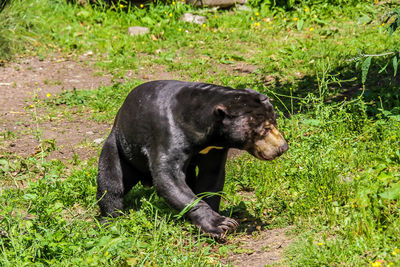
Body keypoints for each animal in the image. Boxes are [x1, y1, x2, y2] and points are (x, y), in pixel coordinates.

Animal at [98, 80, 290, 239]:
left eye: (275, 122)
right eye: (264, 129)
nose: (283, 147)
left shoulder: (215, 149)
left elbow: (211, 176)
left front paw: (216, 218)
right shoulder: (168, 134)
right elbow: (168, 177)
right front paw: (221, 224)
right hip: (120, 147)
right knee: (110, 181)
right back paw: (110, 219)